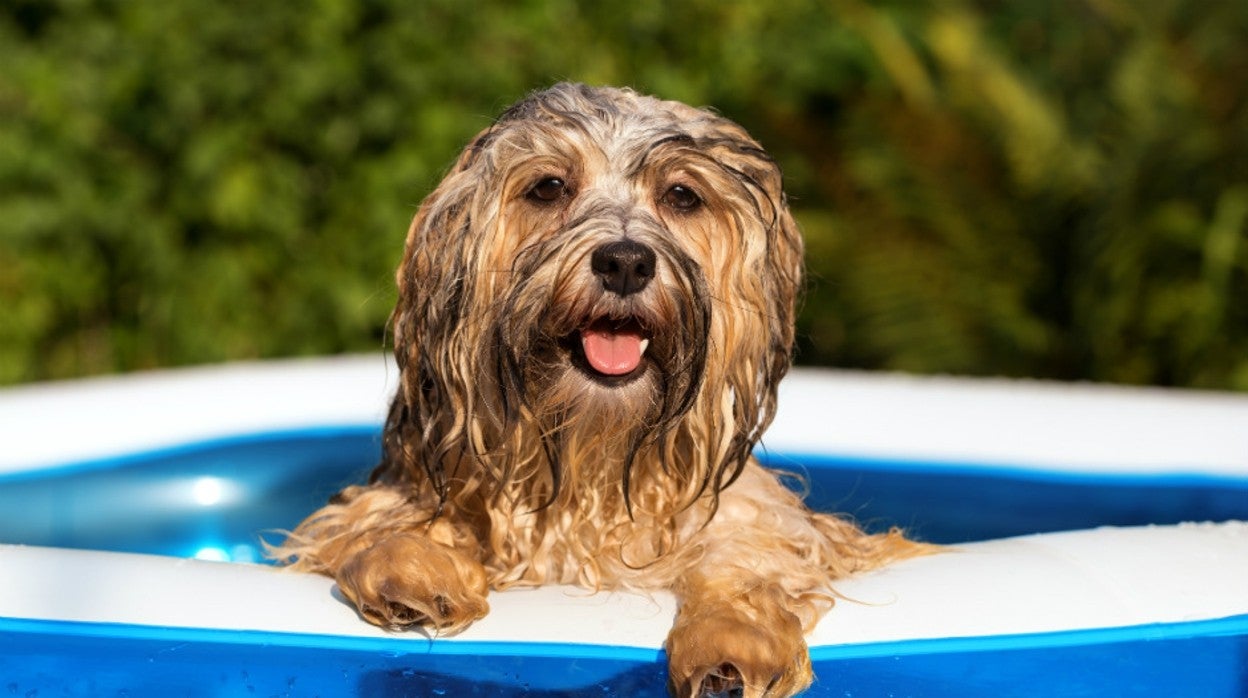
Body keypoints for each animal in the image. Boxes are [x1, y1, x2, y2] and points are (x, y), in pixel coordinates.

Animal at [278, 84, 923, 694]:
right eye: (548, 187)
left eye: (682, 195)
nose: (626, 262)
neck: (590, 457)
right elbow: (376, 522)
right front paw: (411, 567)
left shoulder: (756, 518)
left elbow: (749, 552)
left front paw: (734, 641)